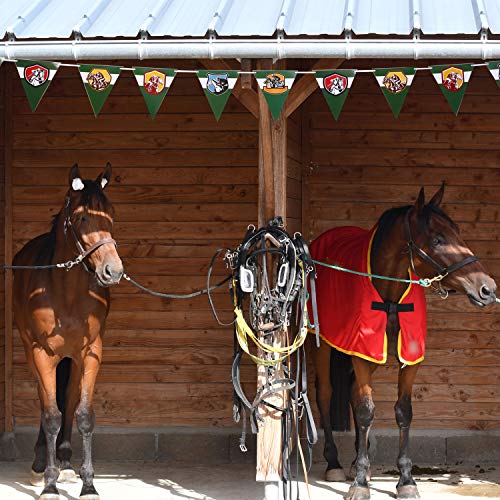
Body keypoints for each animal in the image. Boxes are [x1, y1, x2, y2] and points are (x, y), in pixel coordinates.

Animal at [11, 164, 123, 500]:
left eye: (111, 213)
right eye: (81, 218)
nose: (113, 270)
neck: (67, 294)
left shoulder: (91, 352)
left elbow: (83, 413)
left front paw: (88, 484)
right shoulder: (42, 353)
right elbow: (50, 415)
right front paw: (49, 483)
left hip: (72, 359)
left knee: (70, 400)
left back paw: (64, 460)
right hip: (33, 353)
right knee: (44, 401)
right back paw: (40, 463)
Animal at [312, 185, 496, 500]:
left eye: (458, 232)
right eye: (437, 239)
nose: (488, 289)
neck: (390, 297)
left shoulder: (409, 359)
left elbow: (403, 412)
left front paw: (406, 479)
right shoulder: (361, 353)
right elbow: (366, 411)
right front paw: (359, 484)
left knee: (351, 392)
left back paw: (357, 461)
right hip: (324, 346)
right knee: (325, 394)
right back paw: (334, 462)